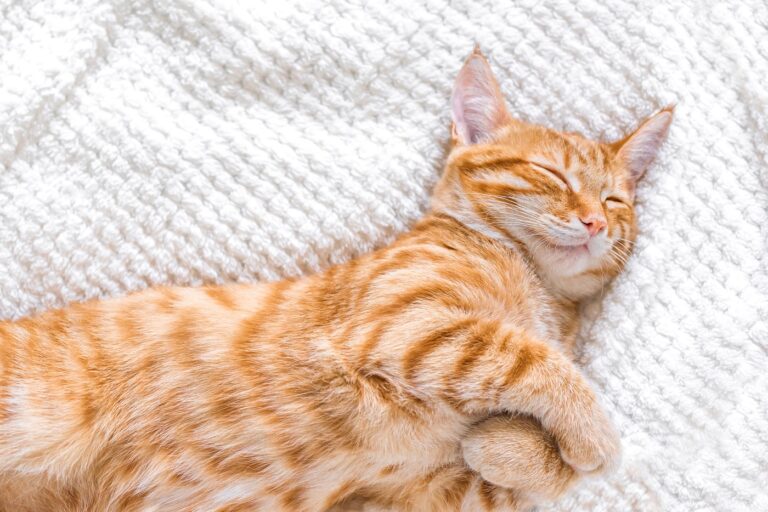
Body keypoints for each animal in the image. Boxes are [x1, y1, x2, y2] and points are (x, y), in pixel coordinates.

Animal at [0, 49, 668, 512]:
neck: (539, 290)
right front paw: (595, 435)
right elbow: (531, 359)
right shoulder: (406, 323)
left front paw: (503, 445)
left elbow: (521, 479)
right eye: (551, 174)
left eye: (616, 201)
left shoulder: (421, 496)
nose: (594, 221)